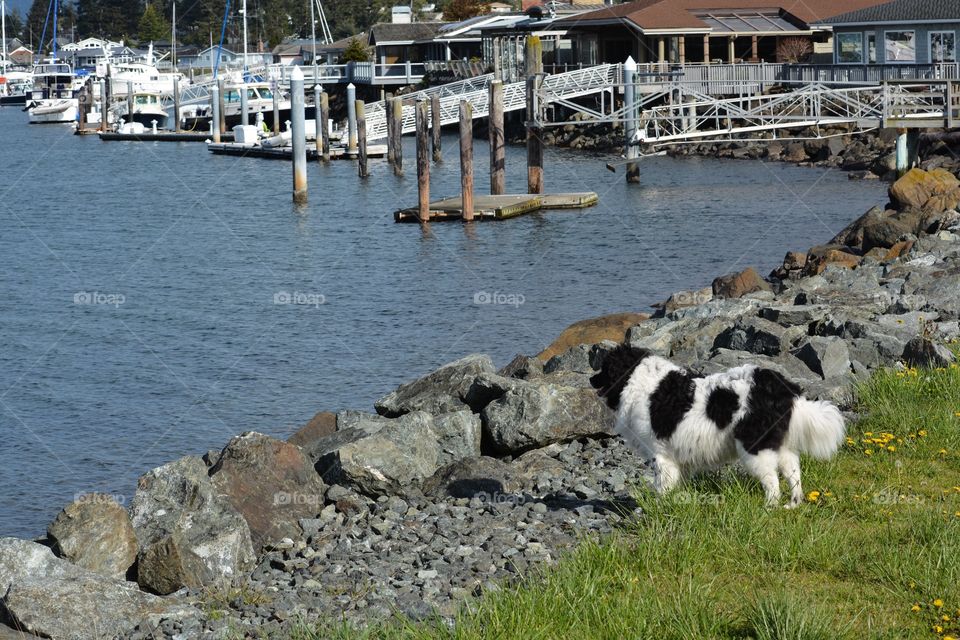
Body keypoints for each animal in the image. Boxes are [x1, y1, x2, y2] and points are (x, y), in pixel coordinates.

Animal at [588, 348, 844, 508]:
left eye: (604, 369)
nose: (590, 380)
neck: (638, 379)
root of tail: (780, 387)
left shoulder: (661, 455)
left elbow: (662, 484)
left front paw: (659, 505)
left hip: (754, 447)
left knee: (772, 481)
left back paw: (769, 507)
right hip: (781, 446)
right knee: (794, 475)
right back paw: (792, 505)